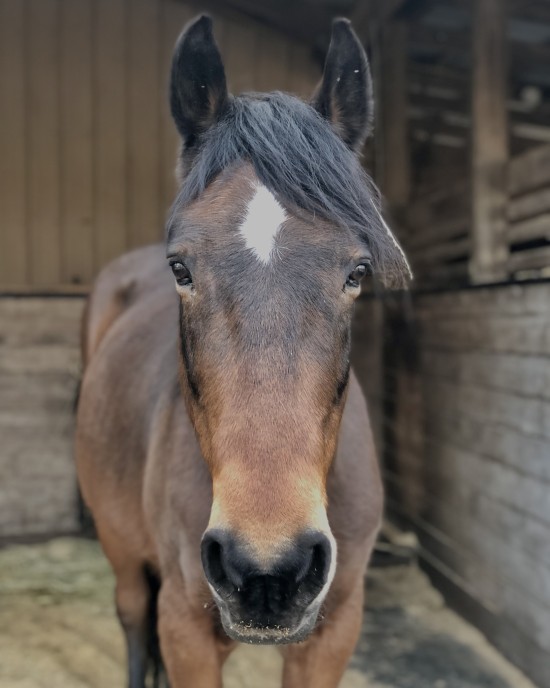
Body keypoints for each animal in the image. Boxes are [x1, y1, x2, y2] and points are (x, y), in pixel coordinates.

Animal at [75, 15, 410, 688]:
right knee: (132, 620)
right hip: (121, 552)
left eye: (357, 271)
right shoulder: (185, 631)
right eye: (180, 268)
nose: (268, 572)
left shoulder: (334, 632)